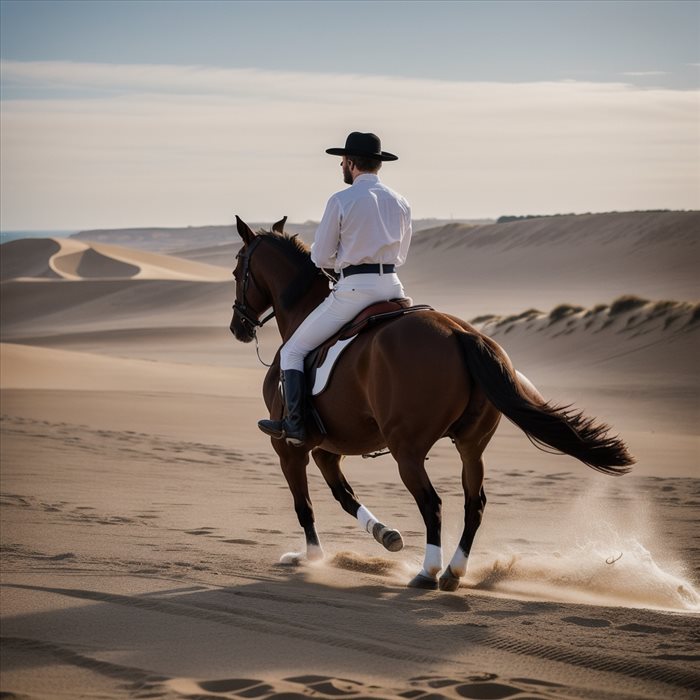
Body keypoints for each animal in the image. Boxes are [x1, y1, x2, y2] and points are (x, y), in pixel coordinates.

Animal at [230, 215, 636, 592]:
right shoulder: (328, 447)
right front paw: (385, 535)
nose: (238, 327)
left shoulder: (289, 447)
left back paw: (428, 571)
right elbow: (343, 494)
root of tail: (461, 333)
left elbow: (304, 505)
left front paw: (312, 558)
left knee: (432, 503)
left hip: (406, 450)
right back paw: (454, 571)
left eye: (236, 270)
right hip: (471, 445)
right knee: (474, 503)